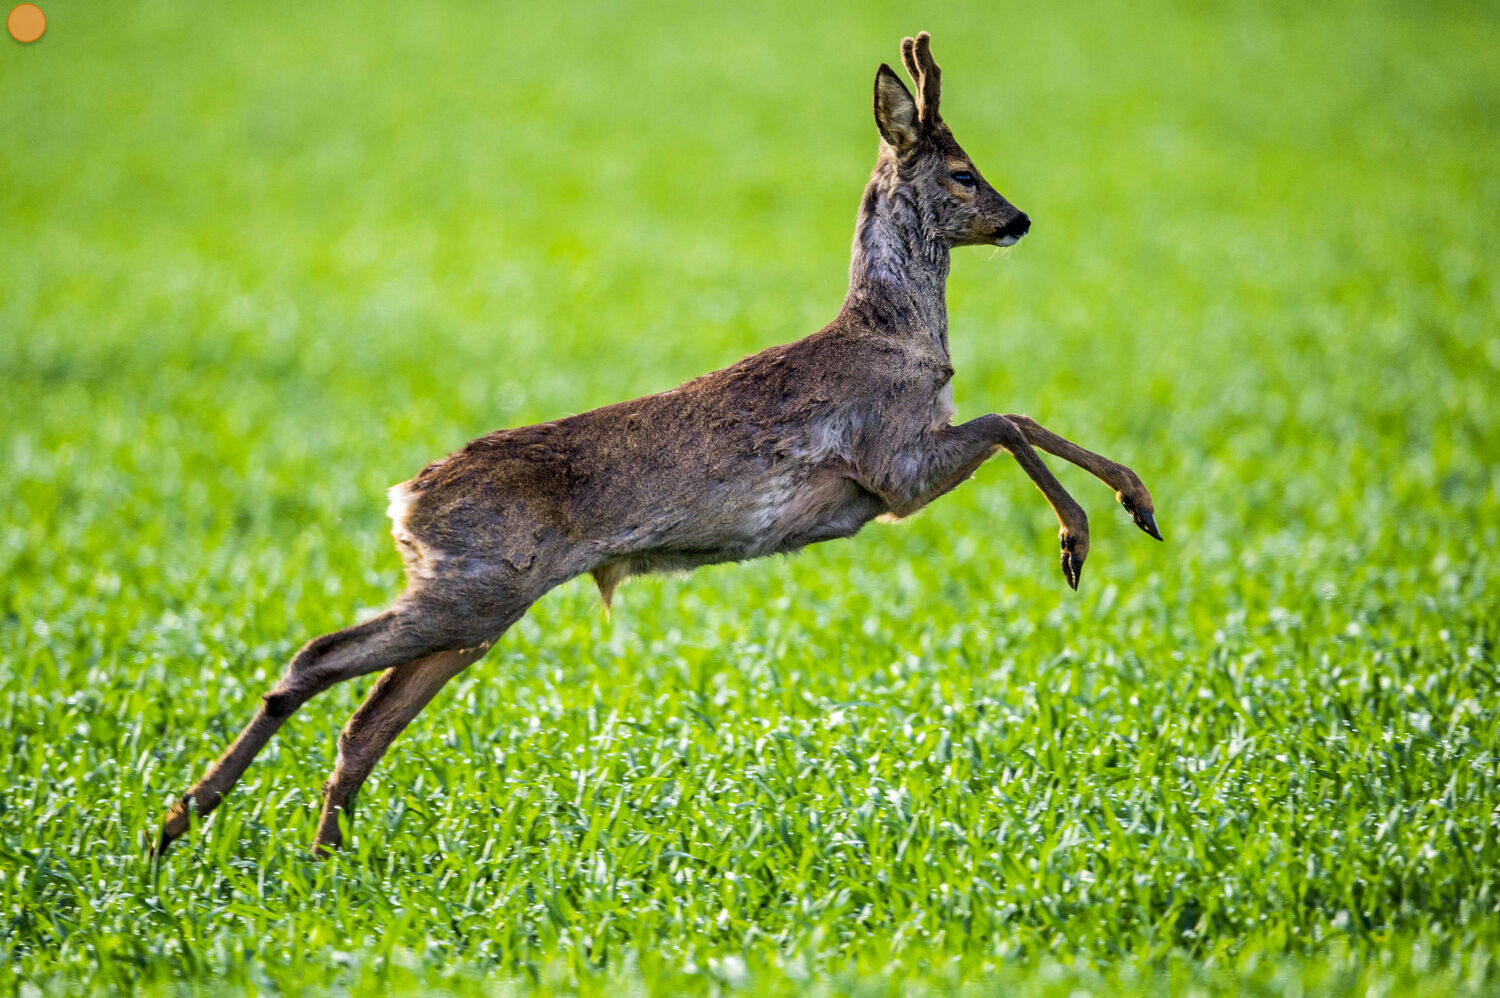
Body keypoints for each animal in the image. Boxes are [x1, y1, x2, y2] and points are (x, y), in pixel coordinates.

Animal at [152, 33, 1158, 858]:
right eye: (960, 172)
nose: (1019, 220)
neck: (895, 333)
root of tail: (404, 499)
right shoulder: (892, 468)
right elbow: (1009, 423)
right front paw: (1094, 531)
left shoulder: (893, 474)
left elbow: (1013, 422)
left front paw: (1125, 512)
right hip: (474, 587)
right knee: (316, 660)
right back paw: (181, 821)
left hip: (476, 609)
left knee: (366, 719)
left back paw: (314, 852)